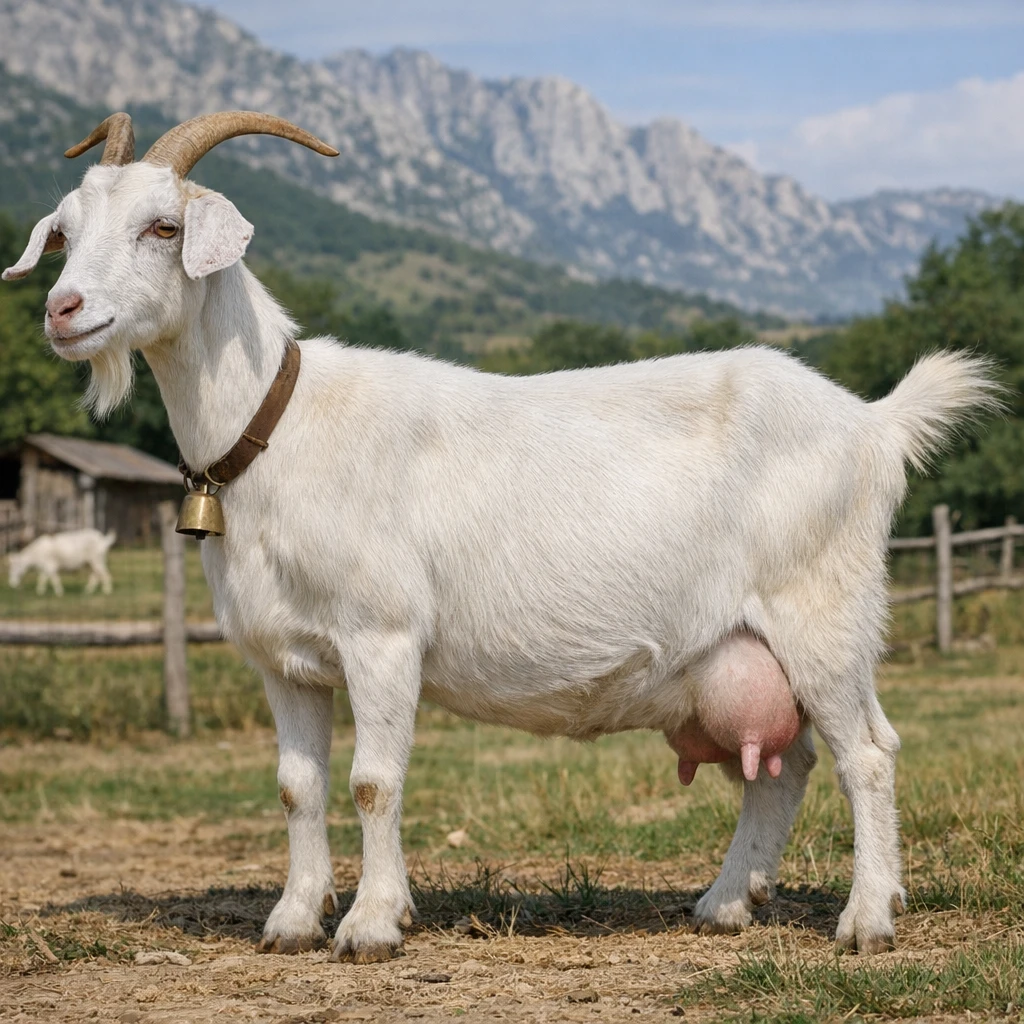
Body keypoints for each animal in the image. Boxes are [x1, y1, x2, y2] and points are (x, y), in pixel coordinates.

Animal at [3, 111, 997, 963]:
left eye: (164, 227)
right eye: (66, 231)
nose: (63, 309)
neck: (278, 426)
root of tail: (873, 423)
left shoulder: (382, 635)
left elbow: (372, 780)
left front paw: (371, 926)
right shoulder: (283, 657)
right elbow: (298, 785)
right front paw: (291, 921)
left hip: (824, 612)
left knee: (866, 754)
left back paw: (867, 919)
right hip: (743, 646)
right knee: (782, 765)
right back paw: (726, 903)